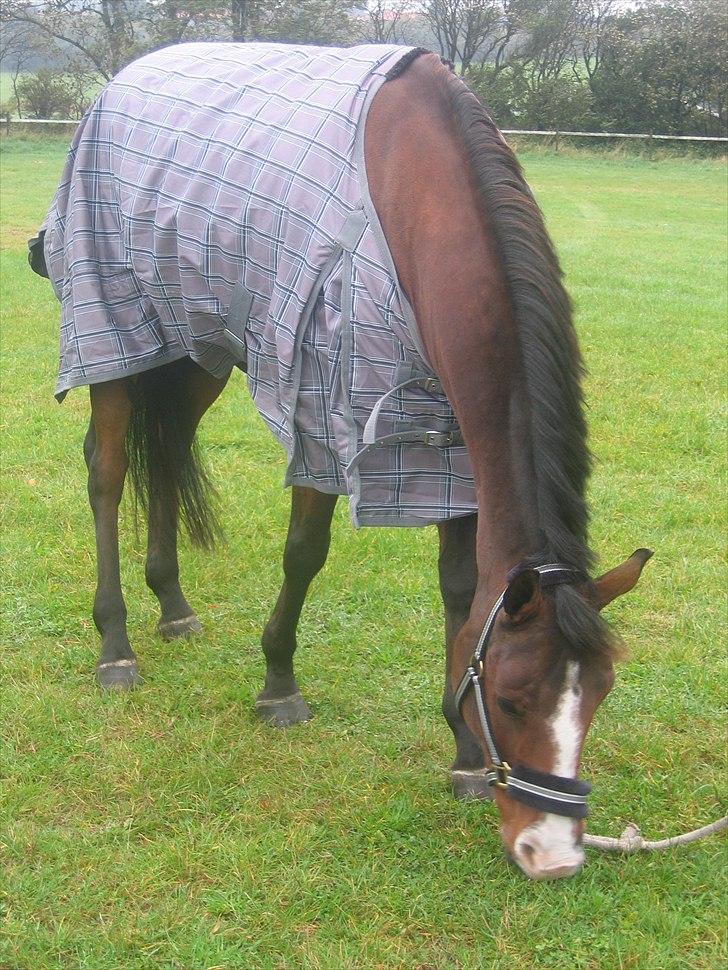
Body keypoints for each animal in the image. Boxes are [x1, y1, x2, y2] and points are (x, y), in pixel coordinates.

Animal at [31, 43, 651, 880]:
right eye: (513, 699)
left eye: (597, 699)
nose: (549, 854)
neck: (419, 203)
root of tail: (119, 85)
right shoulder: (320, 412)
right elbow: (304, 552)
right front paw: (278, 683)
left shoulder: (453, 446)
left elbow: (463, 590)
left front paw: (461, 753)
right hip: (119, 335)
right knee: (106, 472)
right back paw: (116, 645)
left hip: (197, 346)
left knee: (168, 452)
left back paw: (174, 605)